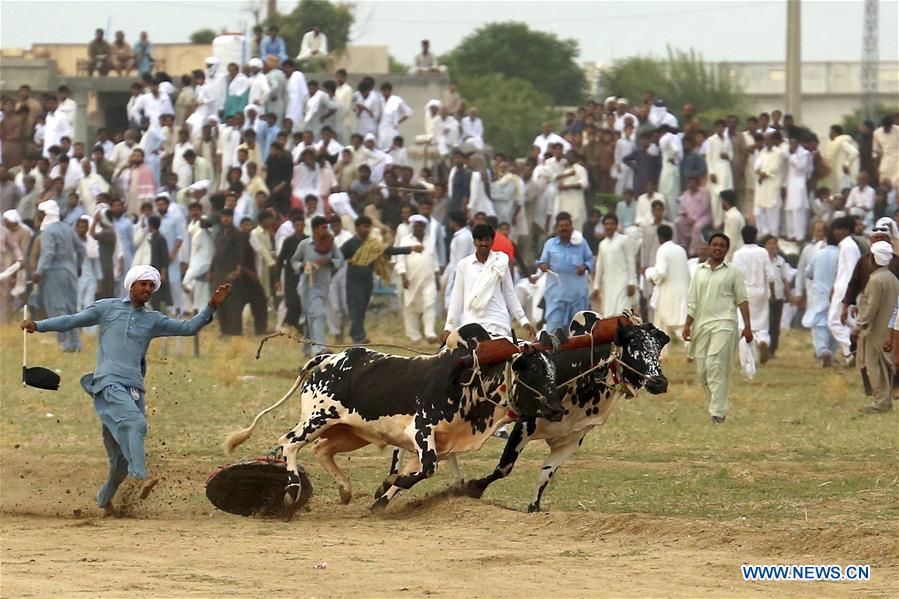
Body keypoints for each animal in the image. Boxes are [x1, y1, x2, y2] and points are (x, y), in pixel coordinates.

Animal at [225, 326, 564, 512]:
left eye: (553, 367)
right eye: (534, 368)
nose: (558, 409)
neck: (468, 378)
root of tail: (328, 358)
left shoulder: (438, 442)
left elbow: (420, 472)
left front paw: (380, 501)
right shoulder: (422, 431)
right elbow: (423, 470)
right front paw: (389, 484)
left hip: (349, 432)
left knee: (322, 450)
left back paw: (345, 490)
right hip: (317, 418)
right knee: (289, 443)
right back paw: (292, 491)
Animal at [460, 312, 672, 512]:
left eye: (658, 348)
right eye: (634, 344)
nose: (660, 382)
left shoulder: (571, 440)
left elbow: (545, 474)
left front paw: (534, 506)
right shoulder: (524, 426)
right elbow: (504, 467)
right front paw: (472, 487)